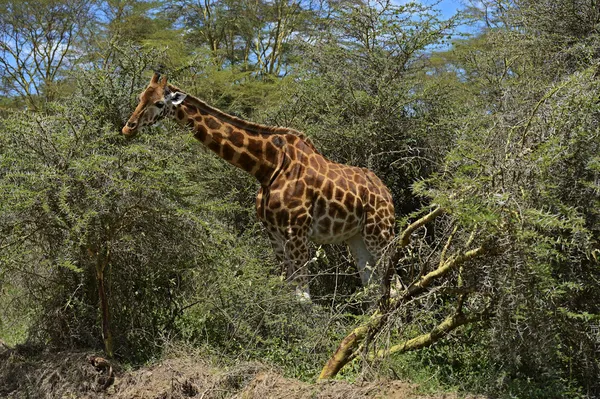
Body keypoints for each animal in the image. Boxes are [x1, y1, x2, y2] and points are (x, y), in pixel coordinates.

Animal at [120, 74, 394, 300]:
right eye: (140, 97)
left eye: (159, 103)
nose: (127, 128)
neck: (268, 168)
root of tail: (387, 192)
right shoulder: (273, 234)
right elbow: (287, 292)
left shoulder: (297, 232)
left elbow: (303, 298)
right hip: (356, 237)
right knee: (372, 286)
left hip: (379, 233)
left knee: (393, 285)